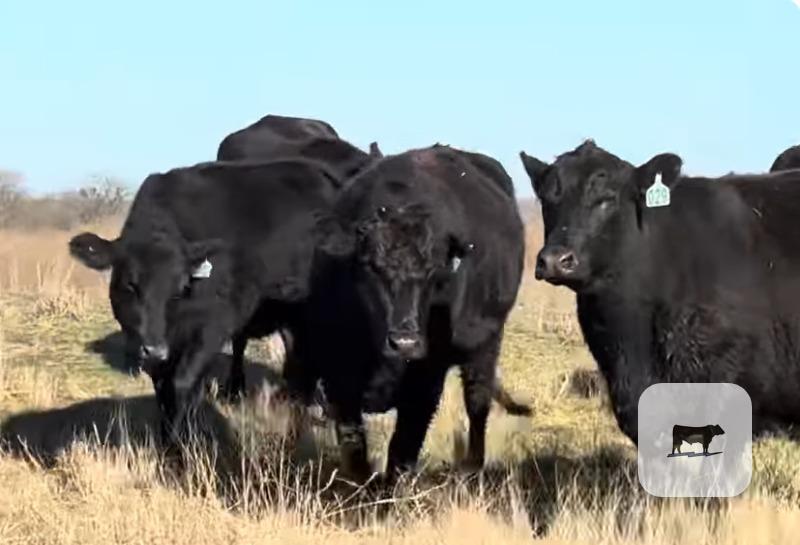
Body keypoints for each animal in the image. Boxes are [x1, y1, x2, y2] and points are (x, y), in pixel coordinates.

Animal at [292, 144, 526, 480]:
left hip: (486, 345)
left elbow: (403, 446)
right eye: (370, 266)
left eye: (434, 271)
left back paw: (471, 466)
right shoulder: (338, 372)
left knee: (477, 400)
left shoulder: (426, 379)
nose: (405, 342)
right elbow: (354, 445)